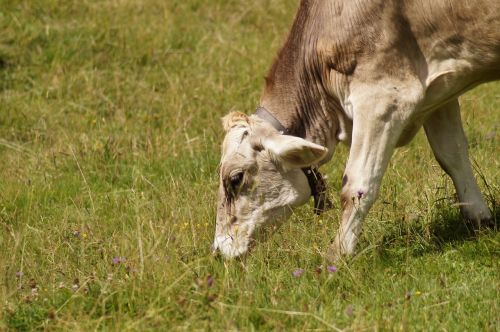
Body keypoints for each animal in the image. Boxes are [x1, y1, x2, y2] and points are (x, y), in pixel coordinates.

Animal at [212, 0, 500, 260]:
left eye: (235, 178)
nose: (217, 251)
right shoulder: (440, 91)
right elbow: (453, 156)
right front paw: (480, 221)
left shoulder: (383, 98)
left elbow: (357, 185)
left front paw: (337, 255)